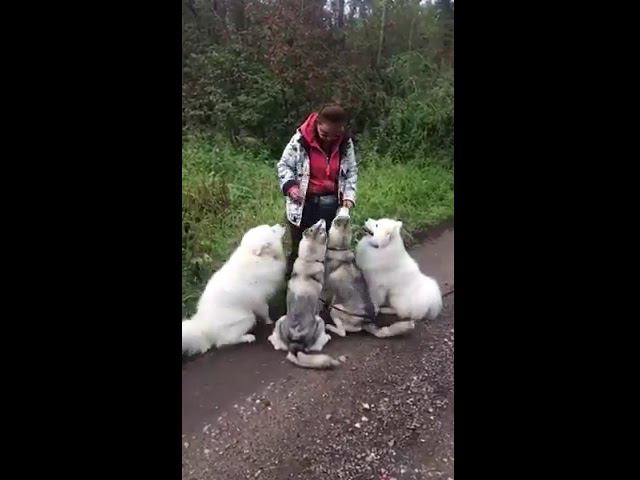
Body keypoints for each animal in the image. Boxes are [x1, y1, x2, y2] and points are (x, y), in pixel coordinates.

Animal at [182, 224, 286, 356]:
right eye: (272, 231)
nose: (282, 225)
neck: (254, 256)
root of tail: (204, 326)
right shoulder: (259, 300)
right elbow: (265, 310)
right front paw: (269, 321)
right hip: (247, 318)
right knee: (224, 341)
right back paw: (247, 337)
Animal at [268, 219, 341, 369]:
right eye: (322, 230)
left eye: (313, 227)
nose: (322, 220)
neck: (308, 261)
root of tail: (295, 343)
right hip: (319, 321)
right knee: (317, 345)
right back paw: (326, 337)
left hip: (281, 320)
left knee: (277, 342)